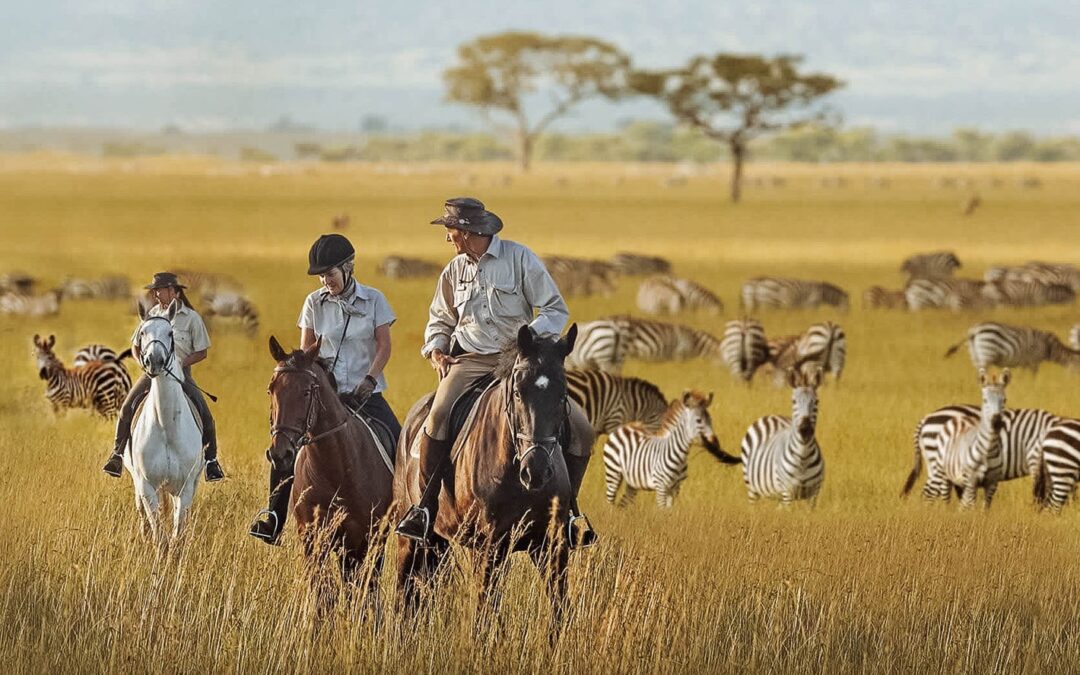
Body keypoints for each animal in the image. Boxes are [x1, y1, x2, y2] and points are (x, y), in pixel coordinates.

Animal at [127, 300, 204, 543]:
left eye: (170, 333)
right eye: (142, 332)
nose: (155, 361)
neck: (166, 427)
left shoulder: (185, 489)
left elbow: (177, 535)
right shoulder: (147, 486)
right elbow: (159, 535)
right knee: (143, 515)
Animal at [267, 336, 395, 595]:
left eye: (306, 392)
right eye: (271, 389)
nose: (280, 454)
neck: (337, 469)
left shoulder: (368, 538)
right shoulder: (312, 539)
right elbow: (323, 594)